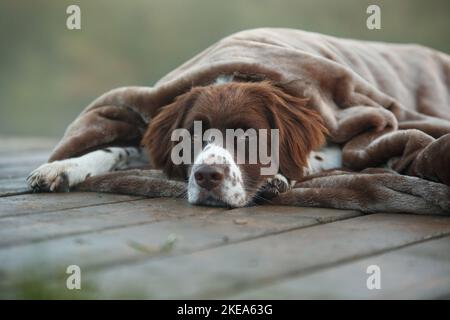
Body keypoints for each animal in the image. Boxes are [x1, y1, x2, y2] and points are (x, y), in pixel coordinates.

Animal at [26, 77, 342, 208]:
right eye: (193, 133)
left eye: (248, 133)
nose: (207, 177)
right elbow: (115, 149)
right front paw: (62, 167)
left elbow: (311, 157)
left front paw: (276, 178)